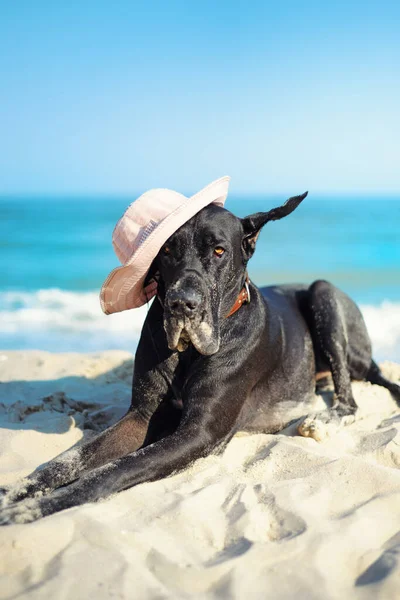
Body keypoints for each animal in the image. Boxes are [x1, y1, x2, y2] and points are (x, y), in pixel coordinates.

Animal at [0, 190, 400, 524]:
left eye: (219, 251)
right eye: (166, 251)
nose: (182, 304)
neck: (188, 352)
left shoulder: (200, 431)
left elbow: (113, 470)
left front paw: (36, 508)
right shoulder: (140, 416)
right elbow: (69, 460)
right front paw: (16, 493)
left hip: (323, 293)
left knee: (349, 400)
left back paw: (319, 421)